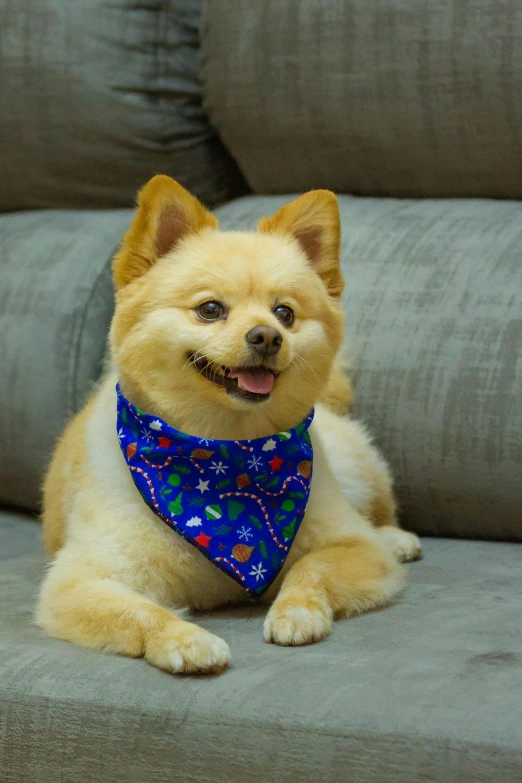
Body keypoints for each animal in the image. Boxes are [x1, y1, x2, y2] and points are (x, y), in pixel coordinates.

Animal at [35, 176, 418, 672]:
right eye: (211, 309)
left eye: (285, 314)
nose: (267, 336)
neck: (223, 450)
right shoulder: (79, 580)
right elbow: (140, 612)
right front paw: (185, 640)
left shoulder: (355, 547)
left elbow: (312, 568)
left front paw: (296, 611)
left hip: (360, 465)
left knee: (378, 517)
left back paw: (397, 538)